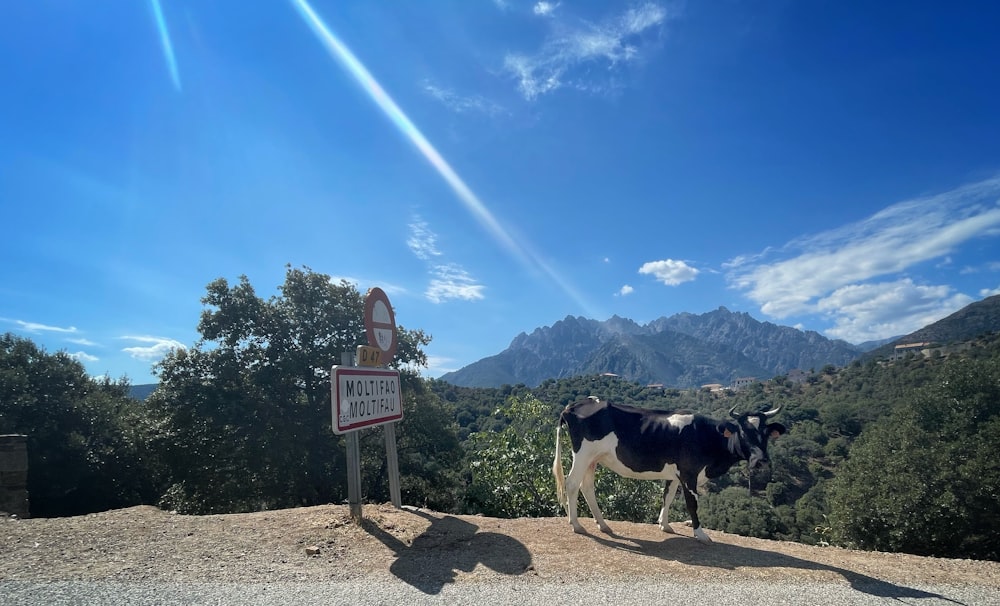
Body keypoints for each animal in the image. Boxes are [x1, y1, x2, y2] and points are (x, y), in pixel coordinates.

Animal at [552, 396, 784, 544]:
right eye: (743, 432)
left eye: (766, 433)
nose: (761, 461)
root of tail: (574, 405)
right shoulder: (690, 473)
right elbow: (692, 504)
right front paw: (700, 535)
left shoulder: (676, 474)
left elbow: (668, 496)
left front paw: (664, 525)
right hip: (583, 453)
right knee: (572, 484)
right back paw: (576, 525)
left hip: (593, 459)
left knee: (587, 486)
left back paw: (603, 525)